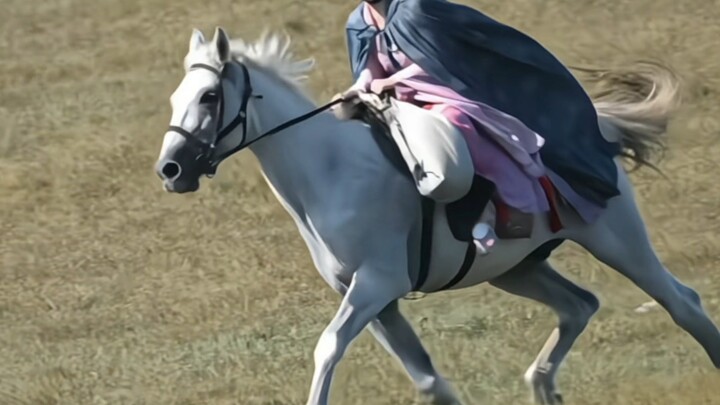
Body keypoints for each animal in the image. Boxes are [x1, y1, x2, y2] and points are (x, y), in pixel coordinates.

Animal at [153, 27, 720, 405]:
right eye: (176, 96)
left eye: (209, 96)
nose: (170, 169)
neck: (330, 171)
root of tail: (596, 130)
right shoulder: (372, 298)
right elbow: (426, 379)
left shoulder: (377, 284)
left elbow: (327, 348)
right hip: (517, 268)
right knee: (580, 305)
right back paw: (542, 385)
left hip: (618, 242)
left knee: (683, 304)